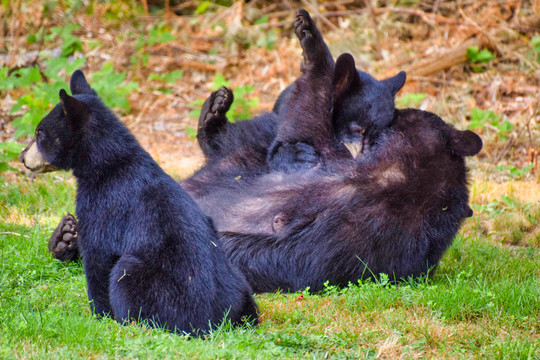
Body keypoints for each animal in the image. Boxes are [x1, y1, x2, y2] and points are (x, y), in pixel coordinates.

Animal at [17, 70, 258, 334]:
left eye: (40, 134)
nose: (21, 156)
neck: (107, 163)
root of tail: (215, 322)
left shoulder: (102, 205)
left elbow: (98, 258)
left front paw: (99, 316)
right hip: (237, 280)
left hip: (151, 284)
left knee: (126, 279)